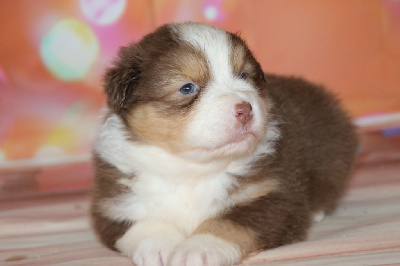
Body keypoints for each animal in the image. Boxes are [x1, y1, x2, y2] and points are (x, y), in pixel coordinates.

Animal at [91, 21, 360, 264]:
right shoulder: (113, 202)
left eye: (243, 75)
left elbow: (229, 223)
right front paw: (158, 247)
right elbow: (140, 222)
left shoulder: (273, 195)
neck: (193, 168)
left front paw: (197, 250)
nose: (245, 109)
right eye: (187, 88)